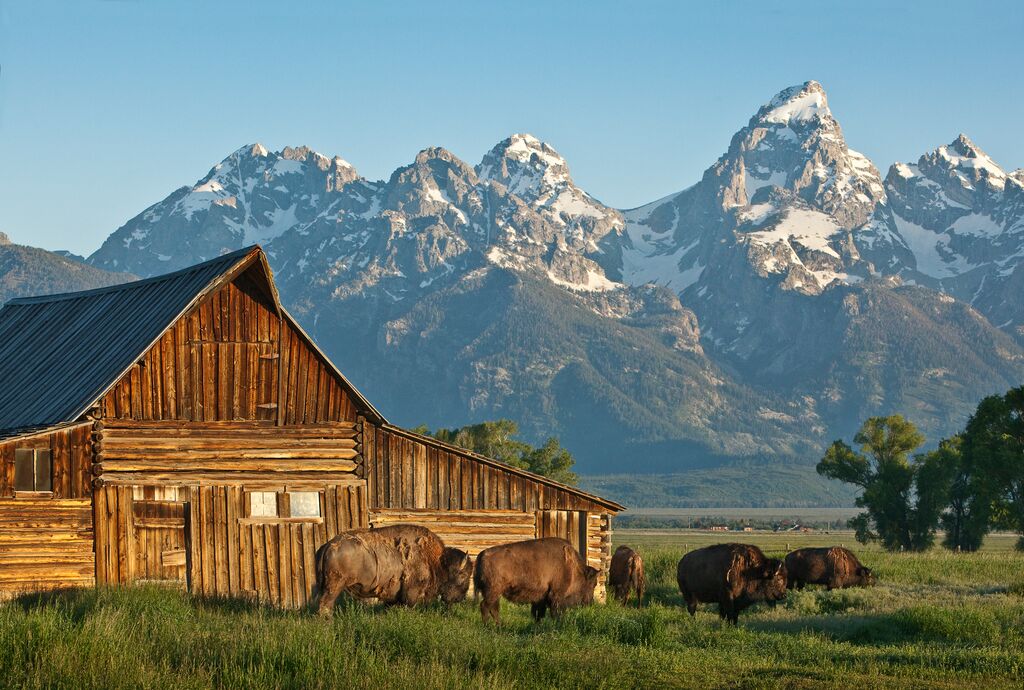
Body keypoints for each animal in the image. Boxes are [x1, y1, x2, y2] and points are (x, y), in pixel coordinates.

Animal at [313, 522, 473, 614]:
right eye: (463, 575)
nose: (461, 598)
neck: (437, 561)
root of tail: (328, 545)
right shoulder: (411, 593)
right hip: (334, 586)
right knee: (326, 605)